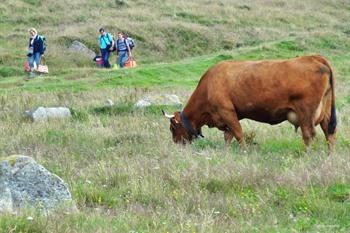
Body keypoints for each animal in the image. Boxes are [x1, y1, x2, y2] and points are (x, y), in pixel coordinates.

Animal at [163, 54, 336, 154]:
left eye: (172, 128)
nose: (175, 144)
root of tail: (313, 57)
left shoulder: (226, 112)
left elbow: (239, 134)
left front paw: (244, 151)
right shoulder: (228, 117)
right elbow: (228, 136)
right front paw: (226, 152)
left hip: (306, 112)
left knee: (309, 134)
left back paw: (307, 154)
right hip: (325, 111)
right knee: (329, 132)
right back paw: (329, 155)